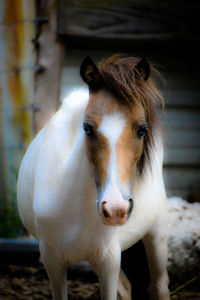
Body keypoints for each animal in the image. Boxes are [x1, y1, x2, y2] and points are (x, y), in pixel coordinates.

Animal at [17, 55, 170, 298]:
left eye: (142, 129)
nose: (115, 209)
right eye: (87, 128)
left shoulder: (109, 262)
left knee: (159, 286)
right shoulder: (52, 261)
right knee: (127, 288)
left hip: (157, 234)